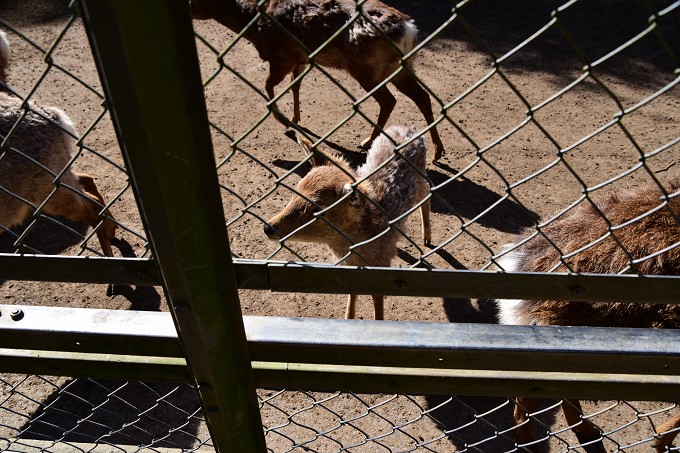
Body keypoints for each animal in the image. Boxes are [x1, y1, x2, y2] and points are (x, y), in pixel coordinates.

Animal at [191, 0, 446, 161]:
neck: (252, 23)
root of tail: (407, 28)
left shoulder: (280, 56)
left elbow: (268, 86)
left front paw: (283, 120)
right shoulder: (301, 59)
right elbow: (295, 86)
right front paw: (295, 118)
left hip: (367, 69)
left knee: (389, 100)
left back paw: (367, 141)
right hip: (400, 66)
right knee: (421, 96)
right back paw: (437, 150)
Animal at [262, 125, 428, 320]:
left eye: (318, 210)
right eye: (295, 192)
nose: (268, 227)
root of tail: (407, 128)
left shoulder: (382, 266)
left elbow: (378, 301)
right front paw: (348, 317)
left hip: (421, 180)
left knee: (427, 196)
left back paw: (427, 237)